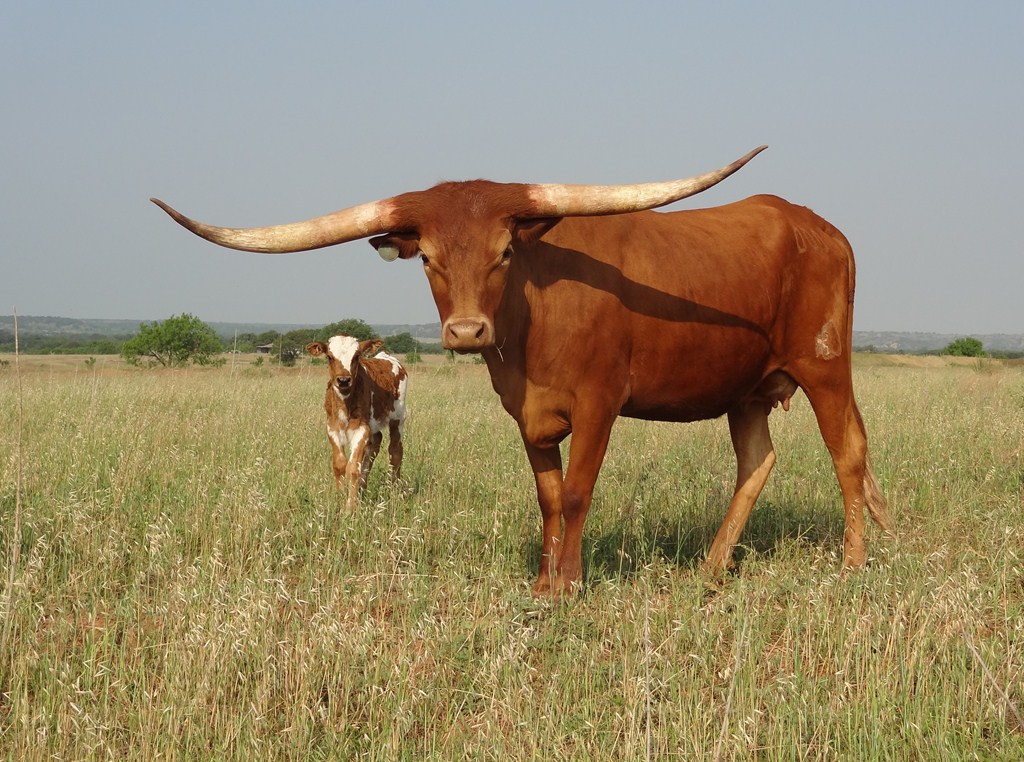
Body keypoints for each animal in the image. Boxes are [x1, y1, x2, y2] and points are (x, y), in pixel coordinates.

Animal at [305, 335, 407, 509]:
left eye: (356, 356)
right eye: (329, 356)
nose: (343, 380)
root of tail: (386, 356)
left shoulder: (361, 429)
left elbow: (353, 468)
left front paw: (350, 507)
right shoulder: (332, 429)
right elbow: (339, 465)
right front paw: (339, 499)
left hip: (397, 418)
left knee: (395, 452)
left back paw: (394, 490)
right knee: (375, 444)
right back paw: (362, 490)